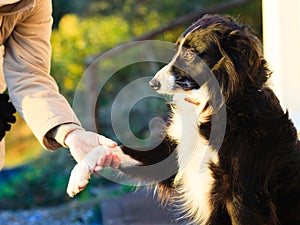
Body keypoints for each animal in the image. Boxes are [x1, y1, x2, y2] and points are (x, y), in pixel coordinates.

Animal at [68, 14, 300, 225]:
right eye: (177, 49)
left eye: (190, 53)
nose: (153, 83)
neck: (211, 105)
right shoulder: (171, 153)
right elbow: (116, 149)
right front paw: (79, 173)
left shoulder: (242, 195)